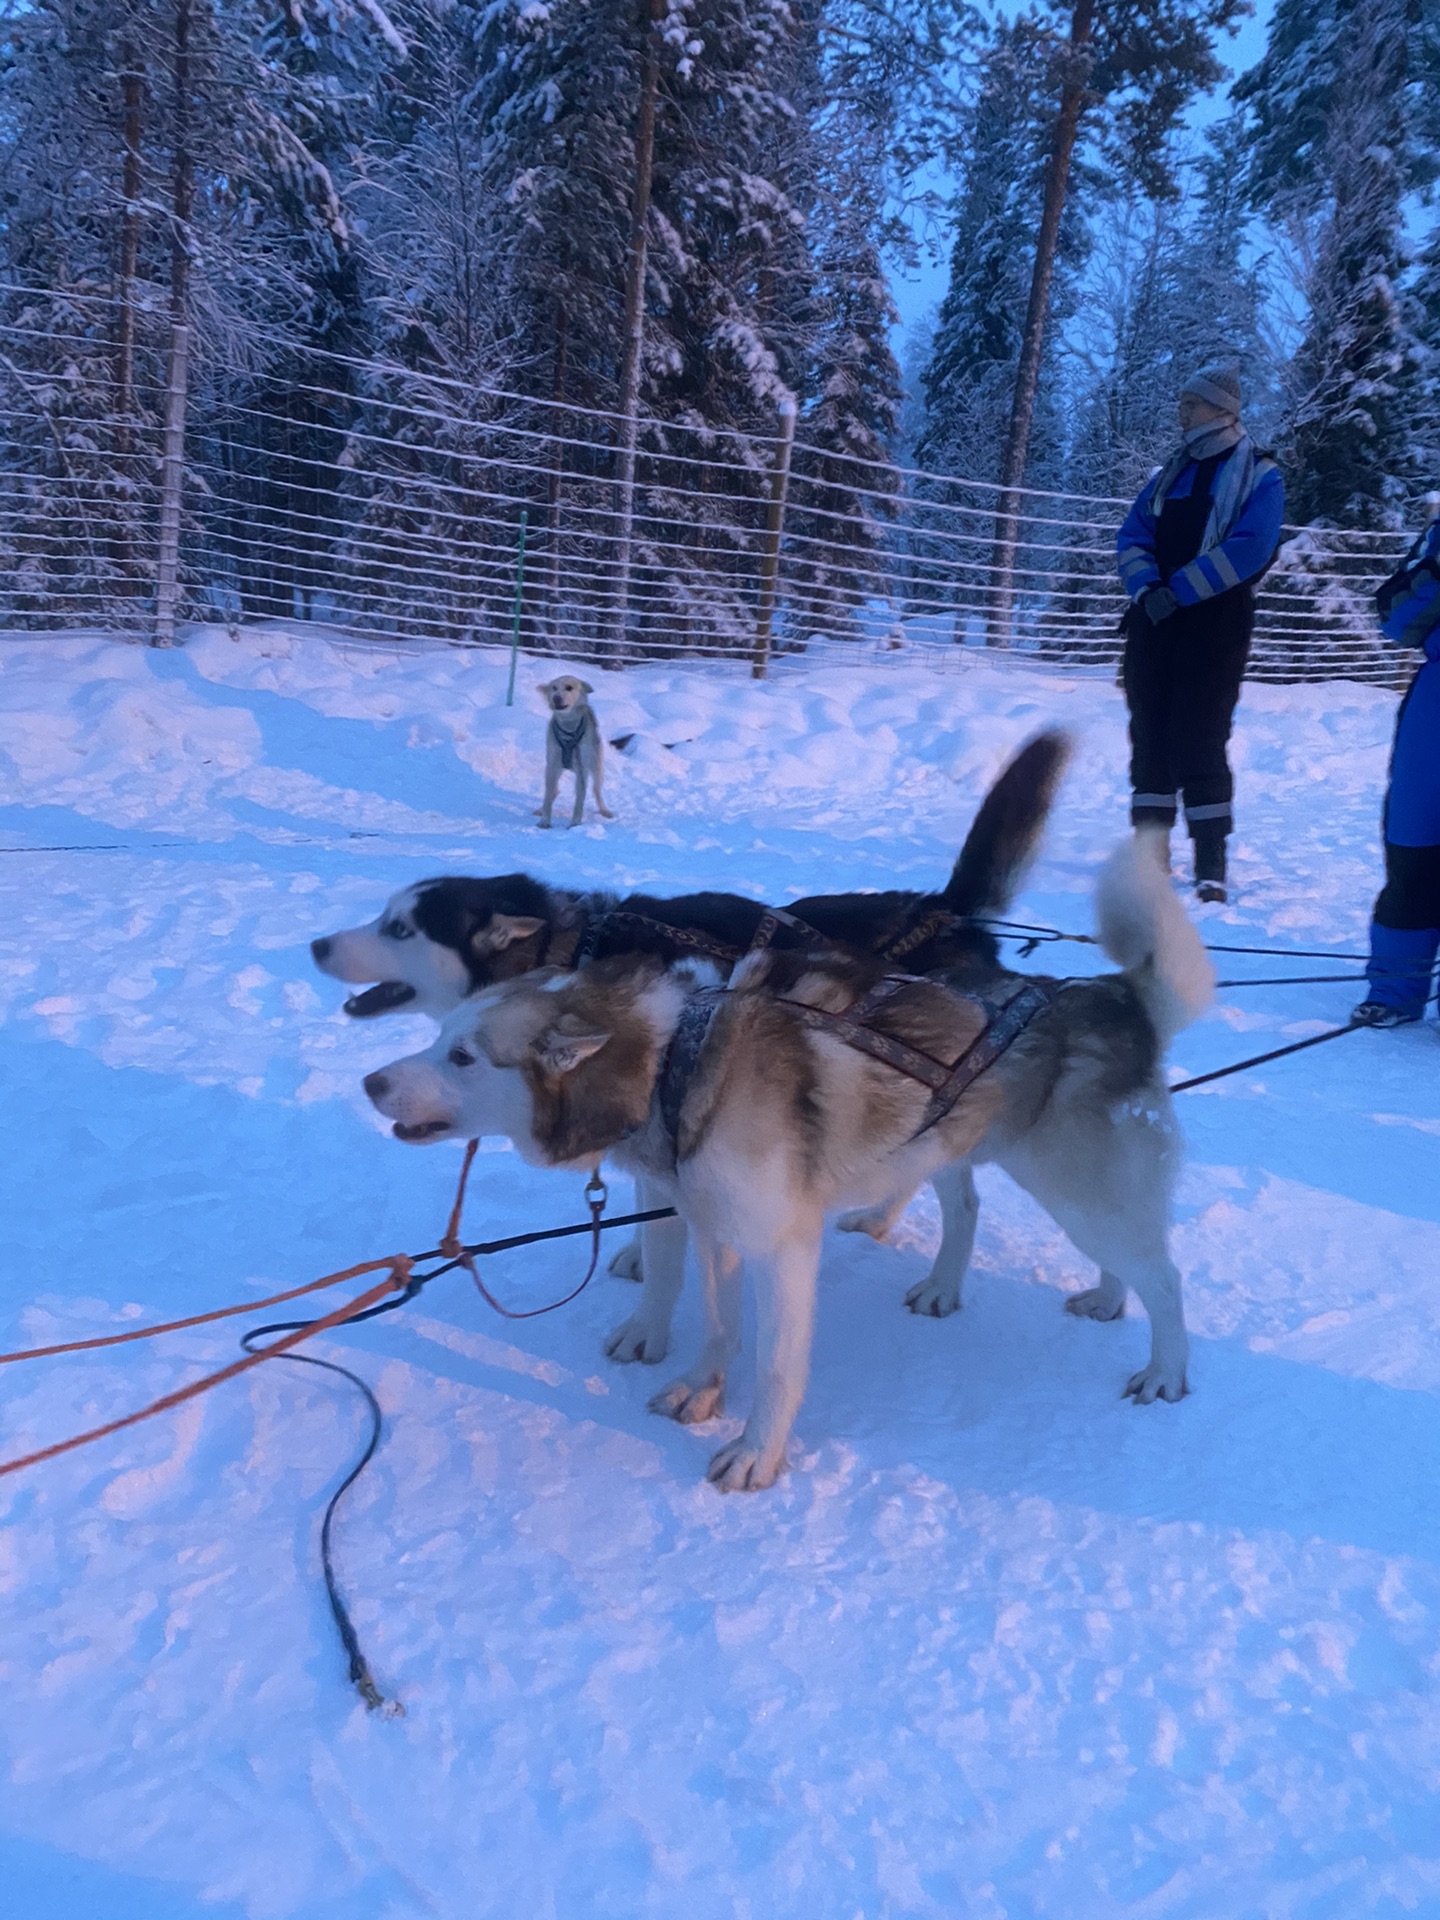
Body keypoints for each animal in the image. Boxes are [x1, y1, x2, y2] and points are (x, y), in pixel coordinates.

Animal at [537, 675, 614, 825]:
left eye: (569, 687)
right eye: (554, 688)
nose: (556, 697)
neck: (569, 728)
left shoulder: (582, 770)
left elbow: (579, 800)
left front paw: (575, 824)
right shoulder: (552, 765)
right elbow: (548, 796)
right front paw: (545, 821)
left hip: (596, 768)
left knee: (596, 790)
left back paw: (604, 810)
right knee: (554, 790)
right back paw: (540, 809)